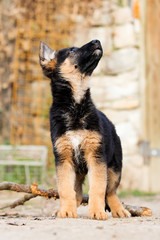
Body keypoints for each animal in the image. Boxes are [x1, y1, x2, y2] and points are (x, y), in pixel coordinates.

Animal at [39, 39, 130, 219]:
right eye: (72, 50)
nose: (97, 41)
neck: (76, 106)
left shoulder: (96, 157)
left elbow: (98, 189)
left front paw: (97, 211)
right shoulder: (64, 158)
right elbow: (65, 189)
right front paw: (66, 210)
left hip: (114, 167)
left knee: (111, 191)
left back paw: (119, 209)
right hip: (78, 171)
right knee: (78, 193)